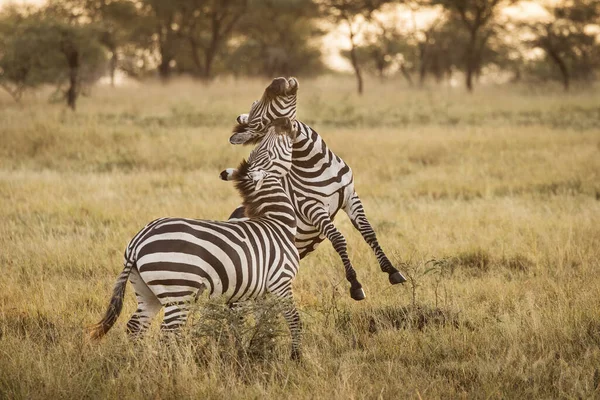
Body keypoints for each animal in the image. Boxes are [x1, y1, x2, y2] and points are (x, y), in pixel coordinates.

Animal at [88, 118, 304, 360]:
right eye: (268, 147)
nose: (283, 122)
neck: (277, 221)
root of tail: (139, 241)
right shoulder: (281, 280)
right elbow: (293, 320)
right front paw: (295, 357)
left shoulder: (259, 291)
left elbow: (262, 322)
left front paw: (257, 350)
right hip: (178, 292)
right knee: (167, 333)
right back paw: (172, 364)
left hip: (146, 291)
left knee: (136, 326)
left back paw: (138, 362)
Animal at [226, 76, 408, 300]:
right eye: (259, 115)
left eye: (256, 105)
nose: (277, 81)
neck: (317, 161)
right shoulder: (311, 207)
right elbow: (338, 239)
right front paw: (355, 285)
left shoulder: (351, 196)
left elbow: (368, 231)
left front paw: (392, 270)